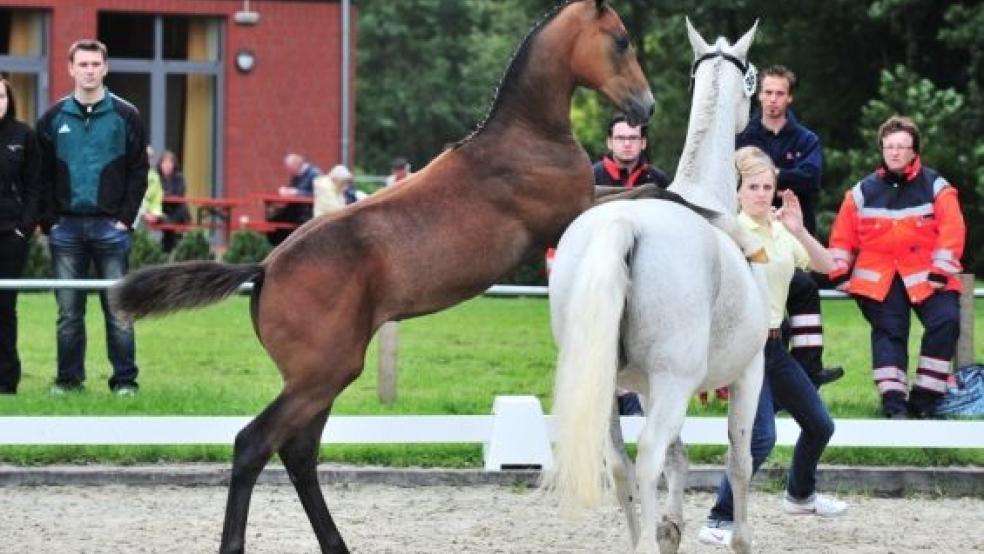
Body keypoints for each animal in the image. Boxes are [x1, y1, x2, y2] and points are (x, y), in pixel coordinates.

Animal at [111, 2, 652, 548]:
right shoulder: (567, 214)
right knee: (253, 443)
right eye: (621, 40)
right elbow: (650, 193)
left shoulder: (584, 203)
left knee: (297, 452)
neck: (526, 136)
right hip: (322, 375)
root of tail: (264, 269)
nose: (645, 108)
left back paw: (336, 544)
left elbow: (641, 189)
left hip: (319, 379)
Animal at [544, 19, 768, 548]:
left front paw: (670, 527)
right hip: (674, 381)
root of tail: (623, 224)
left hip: (612, 386)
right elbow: (739, 461)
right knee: (645, 456)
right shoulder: (749, 371)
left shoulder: (645, 386)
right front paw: (738, 540)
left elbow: (679, 456)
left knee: (621, 463)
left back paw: (641, 538)